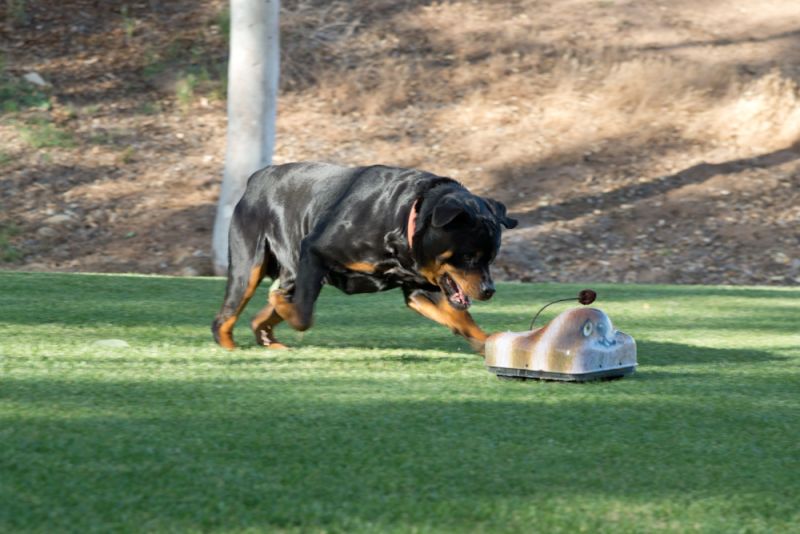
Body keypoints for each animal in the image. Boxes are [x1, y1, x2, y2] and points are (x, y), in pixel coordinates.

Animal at [209, 164, 516, 356]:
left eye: (491, 258)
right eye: (468, 256)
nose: (489, 290)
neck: (403, 217)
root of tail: (256, 177)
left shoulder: (420, 289)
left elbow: (464, 320)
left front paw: (491, 345)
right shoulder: (315, 251)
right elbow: (305, 315)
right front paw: (285, 306)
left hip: (293, 273)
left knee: (261, 314)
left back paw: (268, 339)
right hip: (251, 266)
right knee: (224, 317)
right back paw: (231, 348)